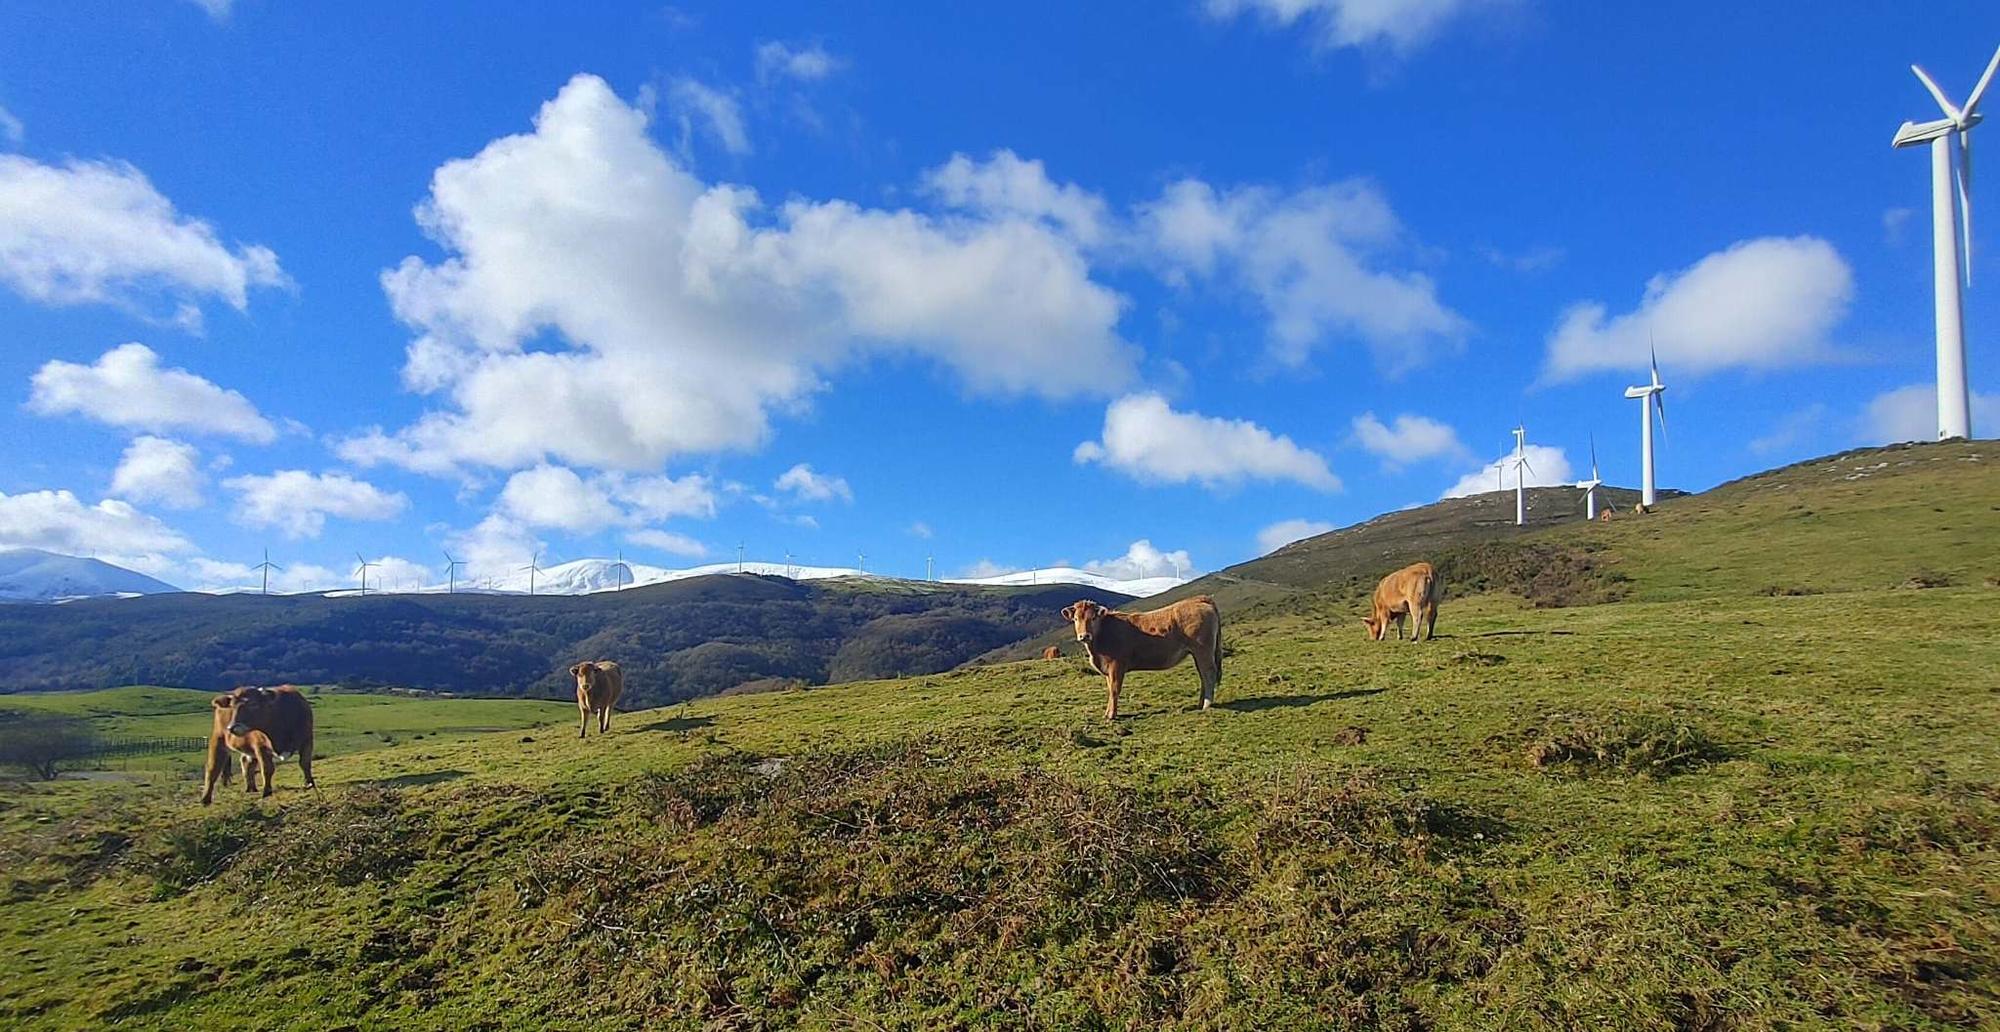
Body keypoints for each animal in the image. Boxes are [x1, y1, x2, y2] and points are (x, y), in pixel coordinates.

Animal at [1064, 596, 1216, 716]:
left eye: (1093, 618)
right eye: (1076, 619)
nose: (1084, 636)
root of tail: (1198, 599)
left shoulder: (1116, 666)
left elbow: (1114, 689)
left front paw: (1111, 715)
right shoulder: (1108, 669)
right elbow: (1110, 690)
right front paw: (1108, 713)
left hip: (1203, 650)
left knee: (1208, 674)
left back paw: (1206, 705)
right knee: (1202, 676)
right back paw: (1200, 703)